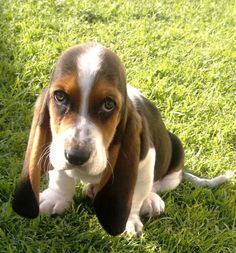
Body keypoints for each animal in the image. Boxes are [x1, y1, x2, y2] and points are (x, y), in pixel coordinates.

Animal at [12, 43, 234, 235]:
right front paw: (55, 199)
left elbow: (135, 194)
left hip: (176, 153)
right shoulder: (55, 146)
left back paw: (151, 200)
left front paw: (129, 221)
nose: (76, 156)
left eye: (109, 104)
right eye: (60, 97)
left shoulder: (144, 162)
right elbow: (60, 176)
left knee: (158, 185)